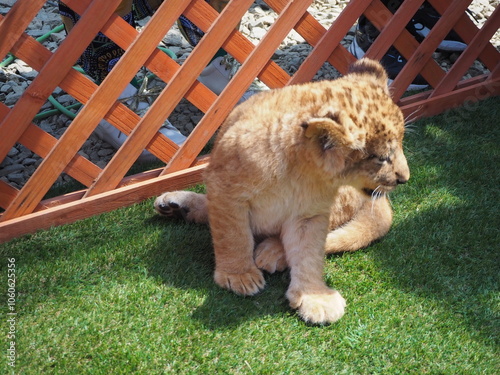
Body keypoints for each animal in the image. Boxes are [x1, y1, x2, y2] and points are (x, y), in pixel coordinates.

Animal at [154, 57, 408, 324]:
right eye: (381, 158)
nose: (405, 179)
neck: (299, 173)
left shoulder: (311, 214)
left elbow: (309, 253)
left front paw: (315, 296)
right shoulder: (226, 190)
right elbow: (232, 235)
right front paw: (239, 275)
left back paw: (270, 252)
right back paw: (177, 205)